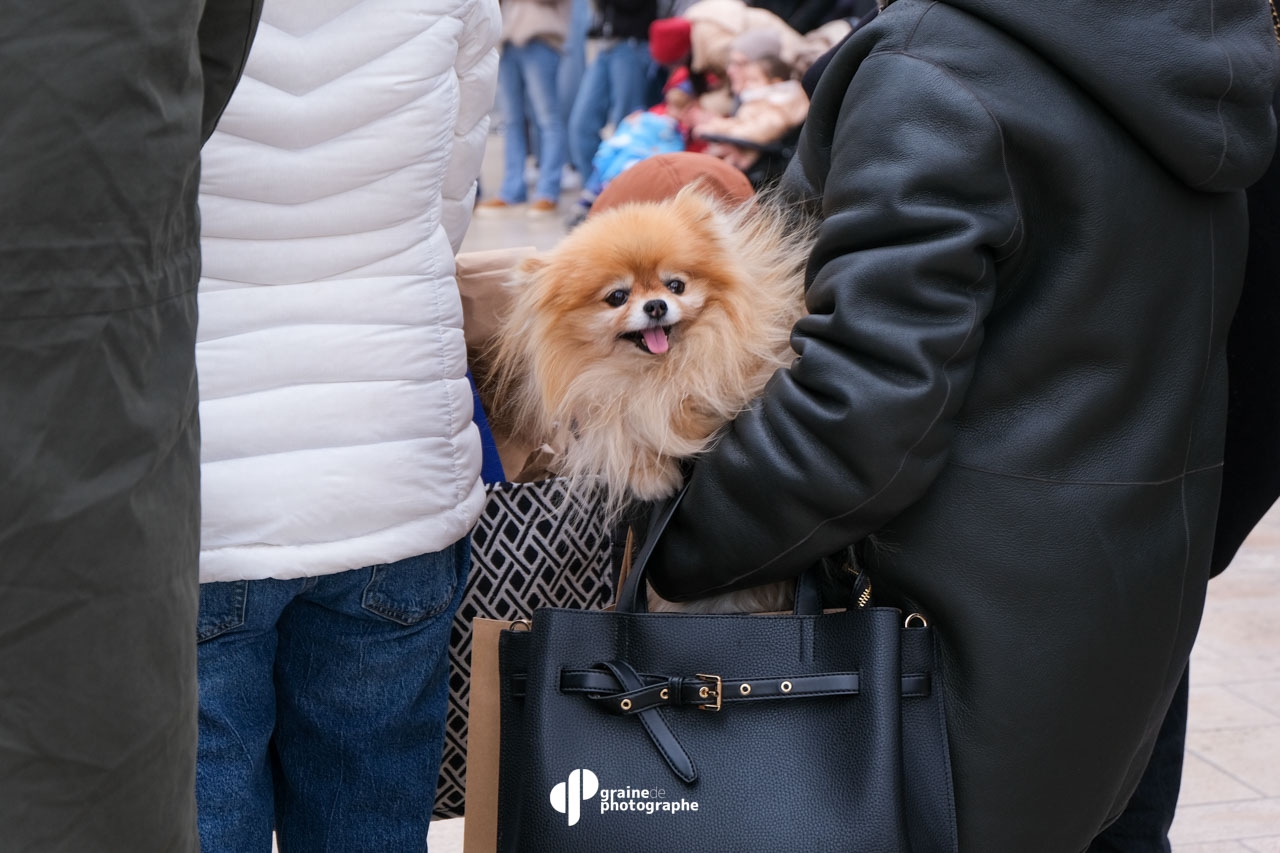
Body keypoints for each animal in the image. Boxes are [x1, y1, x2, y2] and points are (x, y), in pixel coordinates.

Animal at [483, 185, 814, 612]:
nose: (655, 305)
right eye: (617, 297)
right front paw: (652, 476)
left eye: (676, 286)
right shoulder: (604, 399)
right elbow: (625, 428)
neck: (660, 370)